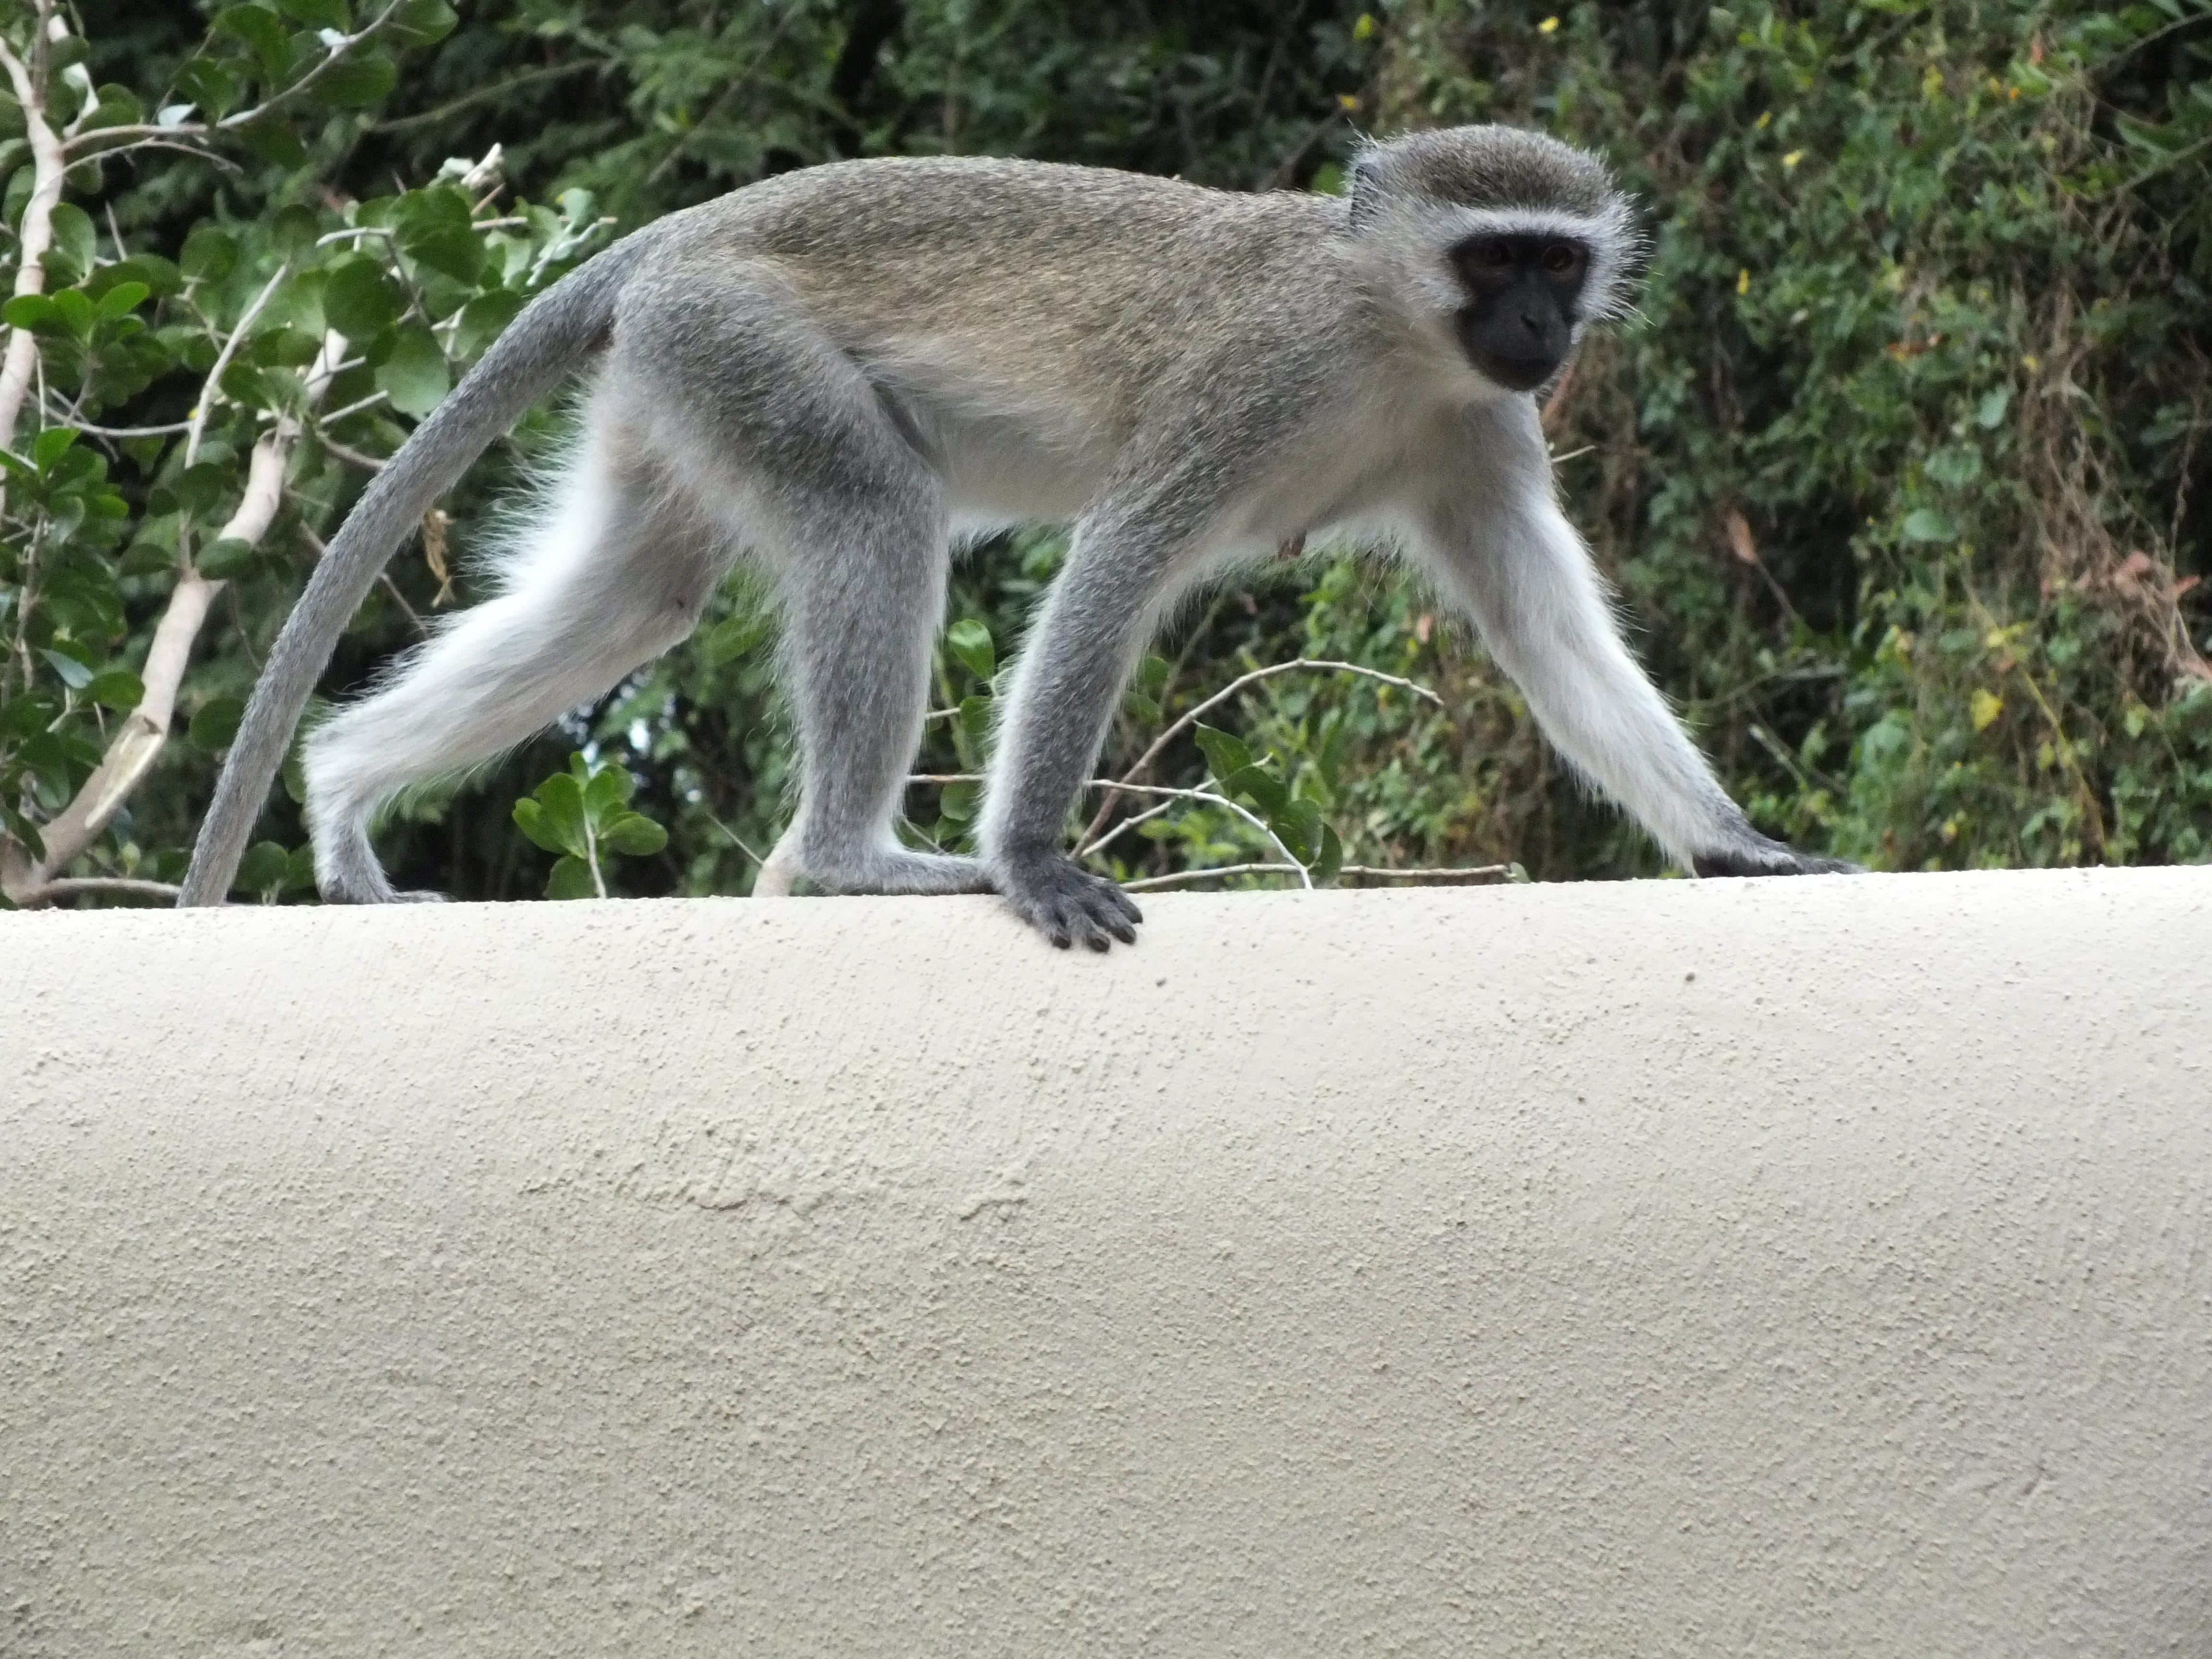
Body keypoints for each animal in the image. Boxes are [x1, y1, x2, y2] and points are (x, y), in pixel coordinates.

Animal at [180, 124, 1856, 944]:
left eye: (1557, 265)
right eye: (1494, 258)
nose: (1536, 330)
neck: (1393, 335)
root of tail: (690, 233)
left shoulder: (1483, 433)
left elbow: (1547, 629)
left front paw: (1735, 843)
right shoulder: (1257, 379)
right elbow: (1121, 562)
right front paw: (1037, 860)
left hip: (680, 374)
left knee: (634, 597)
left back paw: (341, 790)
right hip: (745, 343)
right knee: (873, 518)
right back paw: (853, 862)